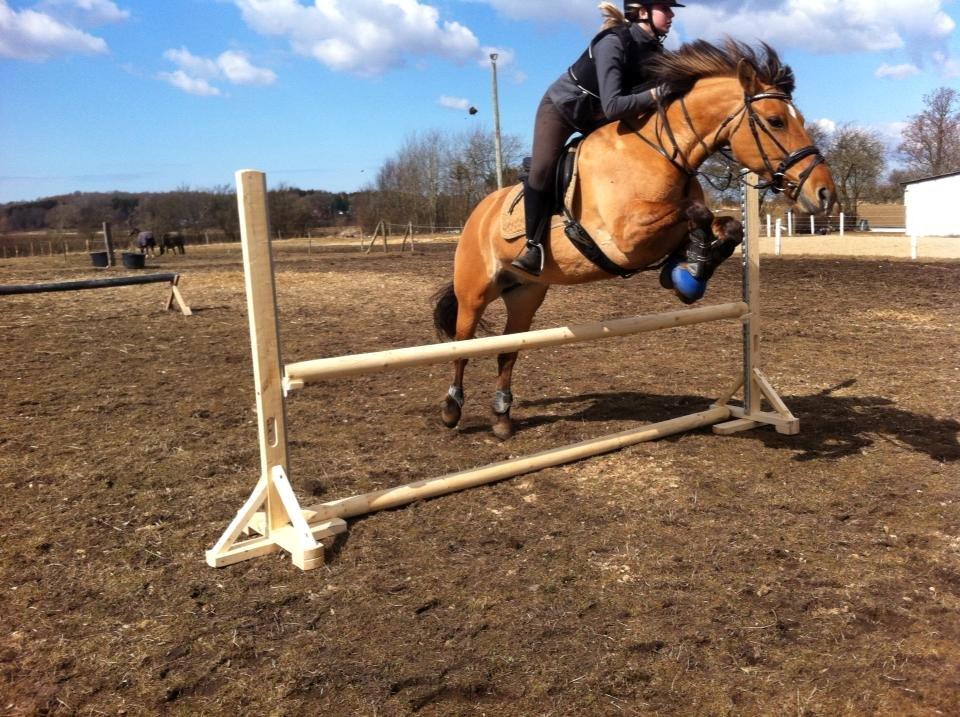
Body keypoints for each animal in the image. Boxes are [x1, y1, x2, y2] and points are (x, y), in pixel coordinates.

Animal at [432, 43, 836, 442]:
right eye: (776, 121)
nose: (825, 193)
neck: (662, 152)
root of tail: (477, 213)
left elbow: (727, 226)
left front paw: (688, 271)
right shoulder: (626, 238)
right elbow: (697, 212)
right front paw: (689, 272)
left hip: (525, 294)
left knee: (507, 351)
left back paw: (501, 418)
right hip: (475, 292)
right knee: (462, 346)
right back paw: (451, 410)